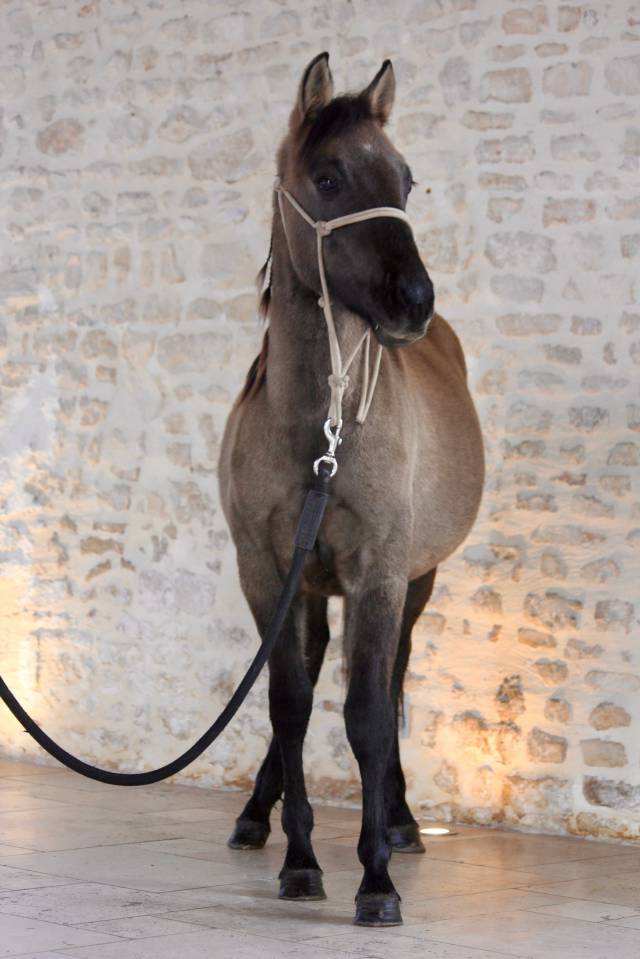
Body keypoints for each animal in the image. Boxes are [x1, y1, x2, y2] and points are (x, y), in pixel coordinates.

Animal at [218, 52, 484, 927]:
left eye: (404, 180)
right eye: (329, 177)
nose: (415, 302)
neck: (319, 431)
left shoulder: (379, 573)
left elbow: (367, 713)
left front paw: (376, 877)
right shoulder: (268, 572)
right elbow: (289, 703)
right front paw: (301, 859)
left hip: (417, 578)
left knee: (393, 677)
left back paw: (400, 819)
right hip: (310, 584)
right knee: (304, 678)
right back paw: (255, 815)